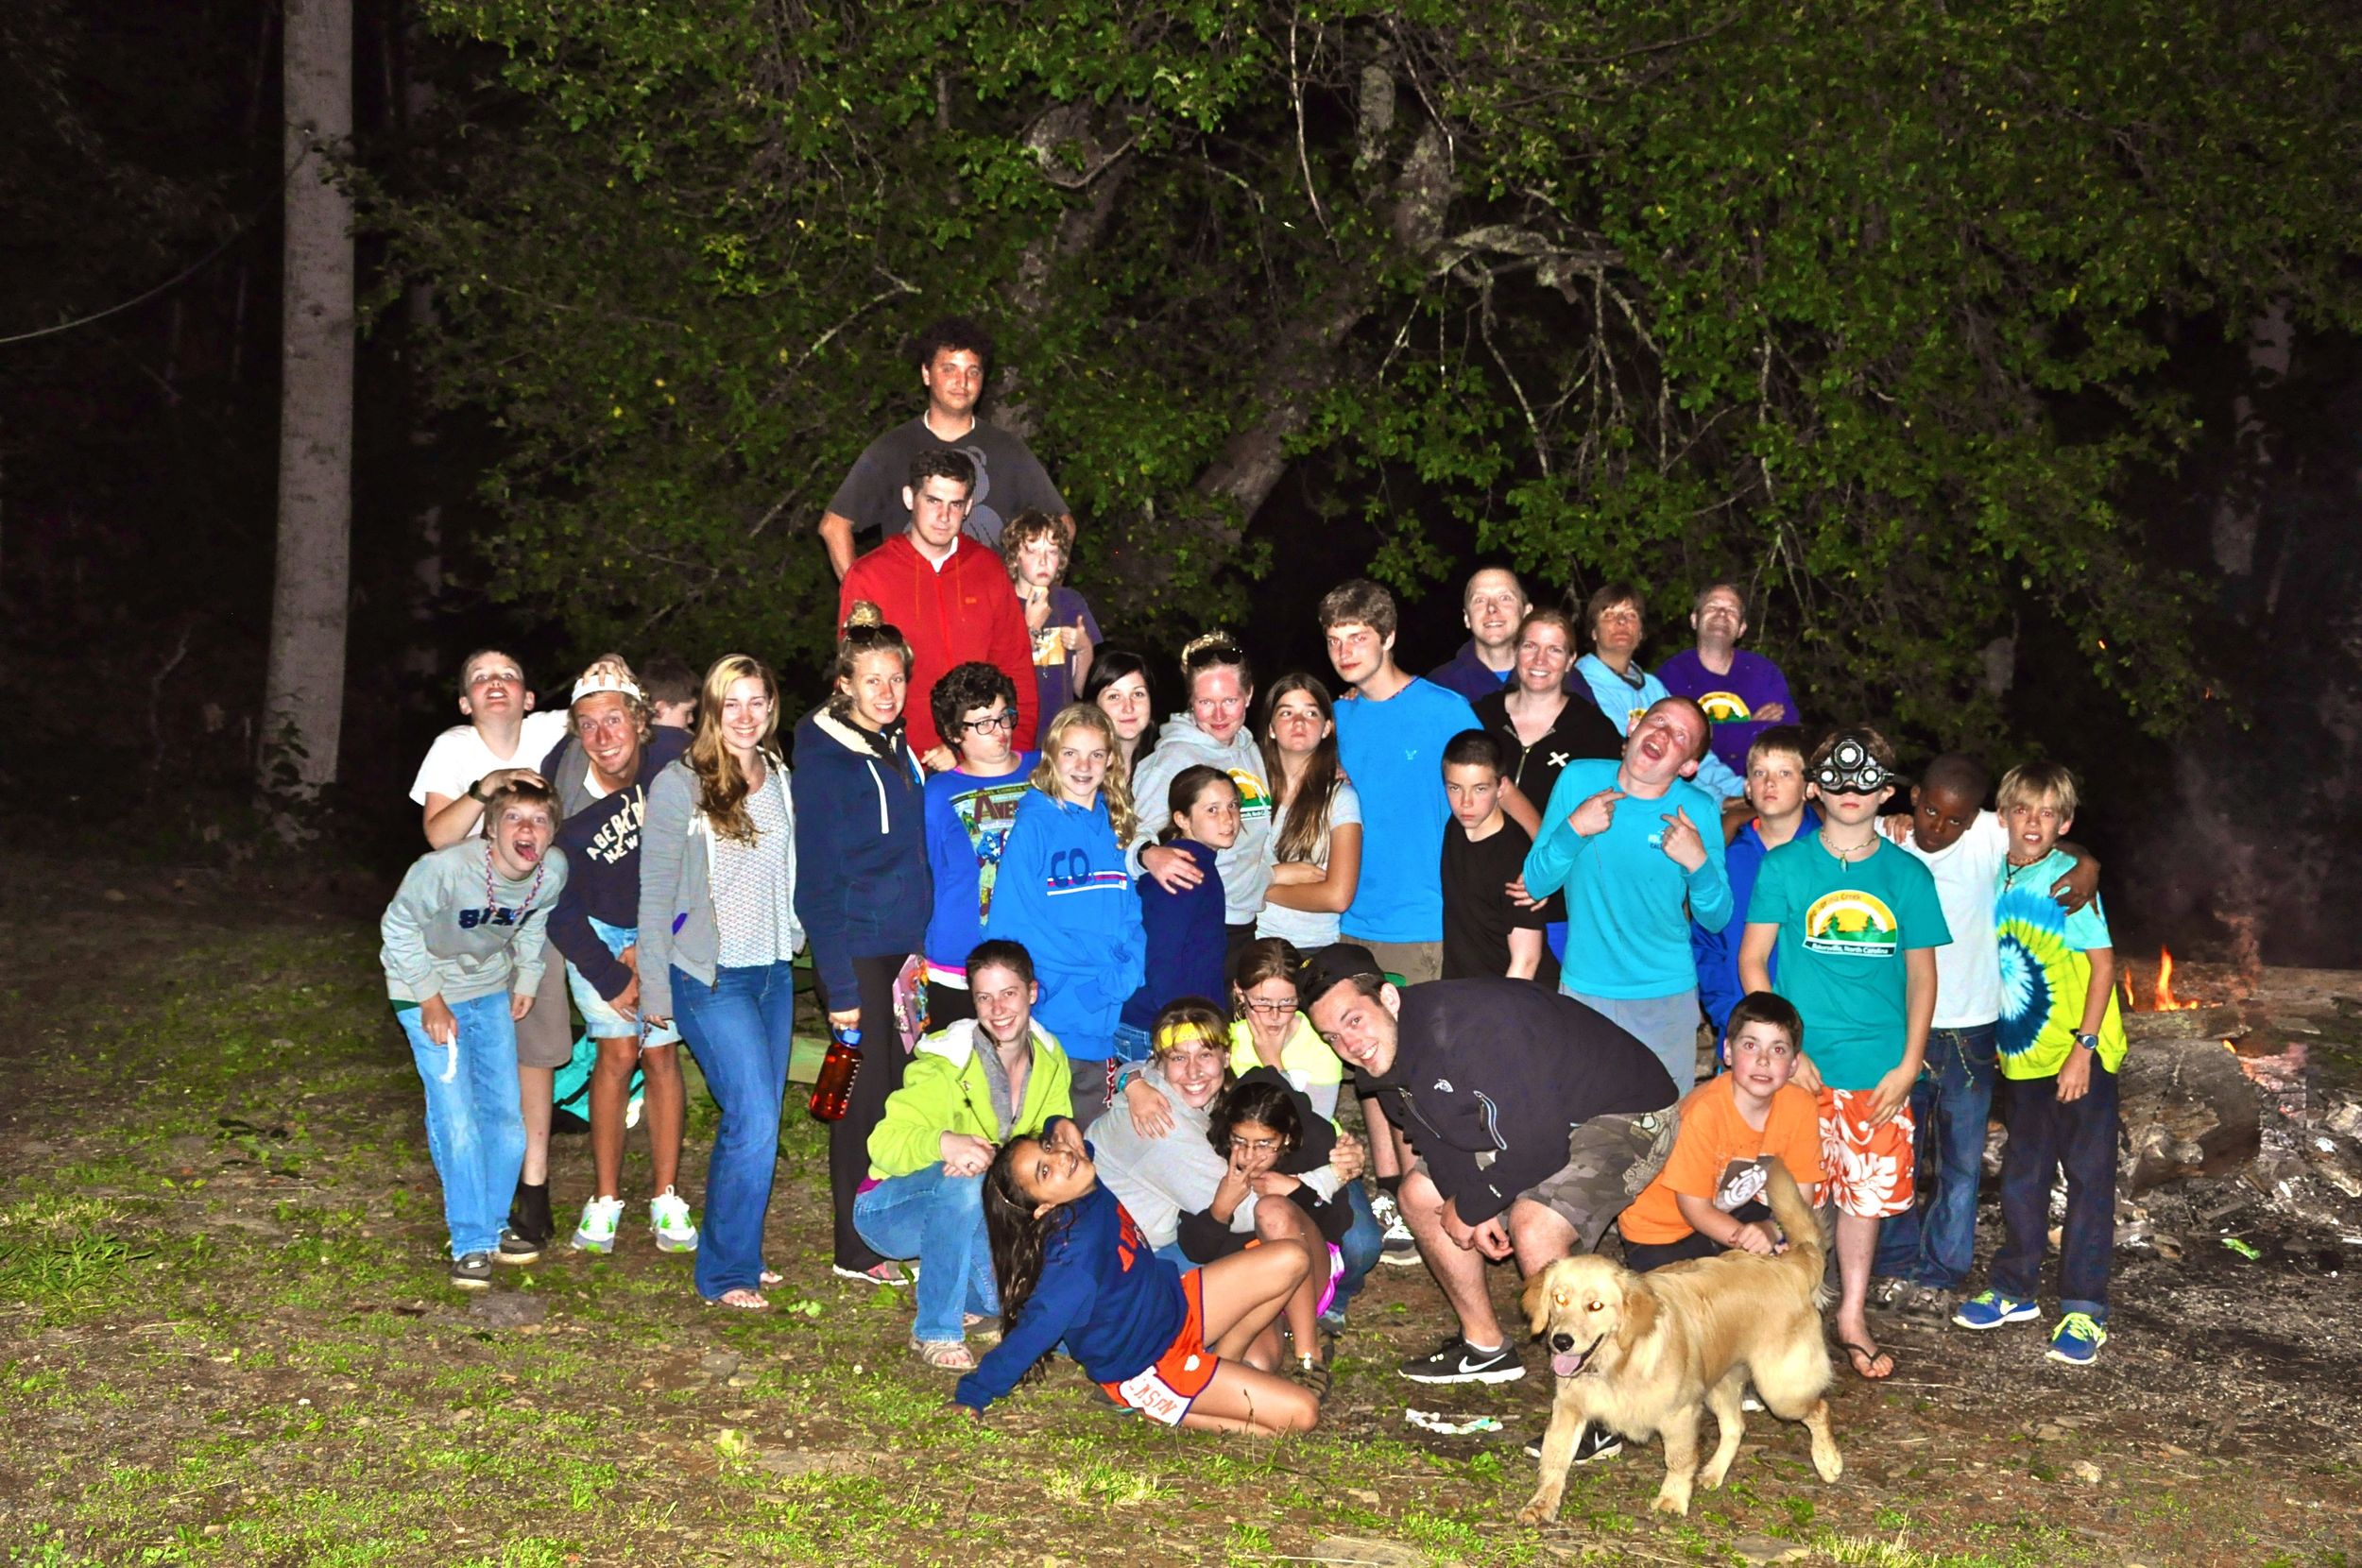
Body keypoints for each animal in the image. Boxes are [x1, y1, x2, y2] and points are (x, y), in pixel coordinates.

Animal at [1512, 1157, 1842, 1521]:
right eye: (1559, 1299)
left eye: (1595, 1306)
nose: (1561, 1342)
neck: (1618, 1362)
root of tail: (1790, 1265)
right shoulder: (1569, 1407)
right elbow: (1555, 1458)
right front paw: (1541, 1503)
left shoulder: (1680, 1412)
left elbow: (1679, 1459)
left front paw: (1672, 1498)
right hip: (1722, 1381)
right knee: (1735, 1427)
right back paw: (1713, 1473)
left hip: (1781, 1391)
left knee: (1819, 1408)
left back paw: (1828, 1462)